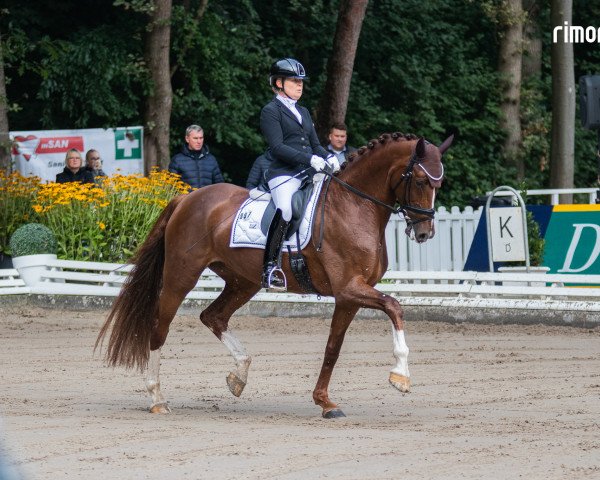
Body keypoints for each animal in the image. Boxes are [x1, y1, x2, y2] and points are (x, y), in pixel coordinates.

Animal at [96, 131, 452, 416]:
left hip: (243, 281)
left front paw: (325, 402)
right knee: (160, 327)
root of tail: (187, 198)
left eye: (440, 184)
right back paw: (157, 398)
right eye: (421, 181)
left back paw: (239, 376)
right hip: (181, 276)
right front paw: (401, 375)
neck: (354, 205)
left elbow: (333, 348)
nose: (425, 233)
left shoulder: (348, 296)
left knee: (213, 316)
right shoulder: (350, 288)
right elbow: (395, 306)